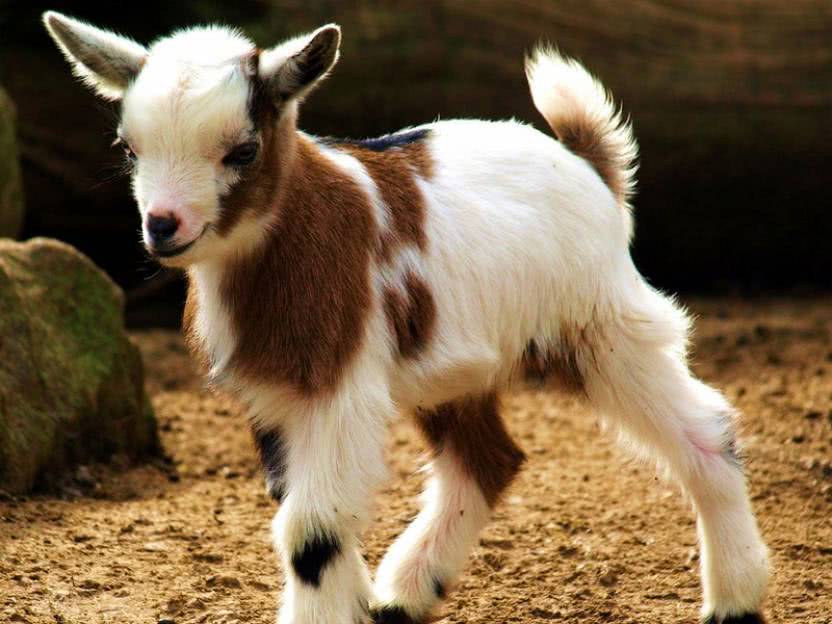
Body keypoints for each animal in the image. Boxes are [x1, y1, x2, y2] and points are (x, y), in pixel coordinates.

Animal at [45, 11, 772, 624]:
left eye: (243, 151)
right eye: (129, 149)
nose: (163, 225)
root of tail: (587, 164)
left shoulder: (338, 383)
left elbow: (311, 530)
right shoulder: (275, 394)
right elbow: (311, 515)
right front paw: (356, 604)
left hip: (603, 327)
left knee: (705, 428)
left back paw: (735, 602)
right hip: (457, 367)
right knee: (488, 460)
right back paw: (405, 594)